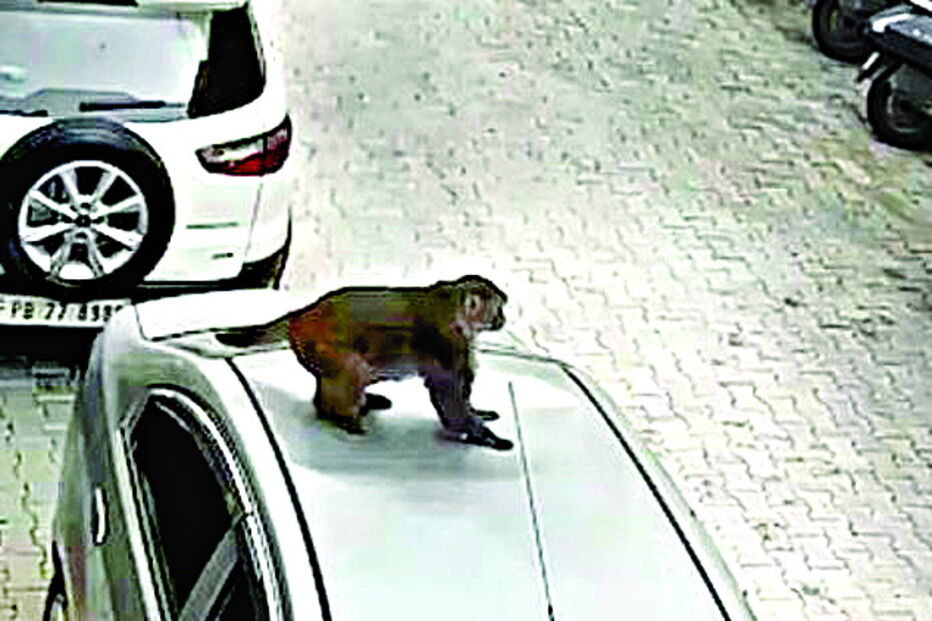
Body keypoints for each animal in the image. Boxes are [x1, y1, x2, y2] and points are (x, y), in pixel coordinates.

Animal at [222, 275, 513, 451]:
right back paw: (339, 415)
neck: (455, 309)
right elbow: (447, 393)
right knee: (352, 368)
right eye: (498, 310)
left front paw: (478, 413)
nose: (503, 319)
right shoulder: (447, 341)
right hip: (320, 345)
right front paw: (482, 434)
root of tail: (302, 315)